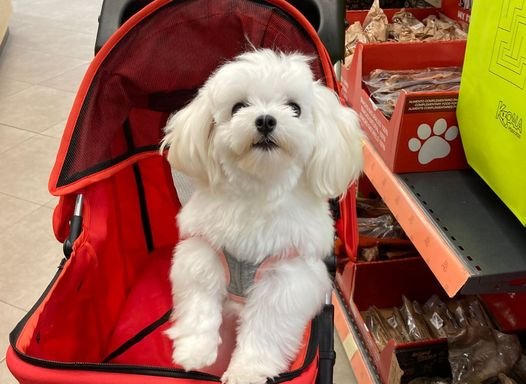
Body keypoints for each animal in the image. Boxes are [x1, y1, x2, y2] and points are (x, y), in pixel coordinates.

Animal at [162, 48, 364, 384]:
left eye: (294, 108)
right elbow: (199, 304)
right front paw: (195, 352)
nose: (266, 119)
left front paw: (246, 371)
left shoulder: (284, 280)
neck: (259, 189)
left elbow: (265, 330)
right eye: (238, 107)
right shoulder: (204, 255)